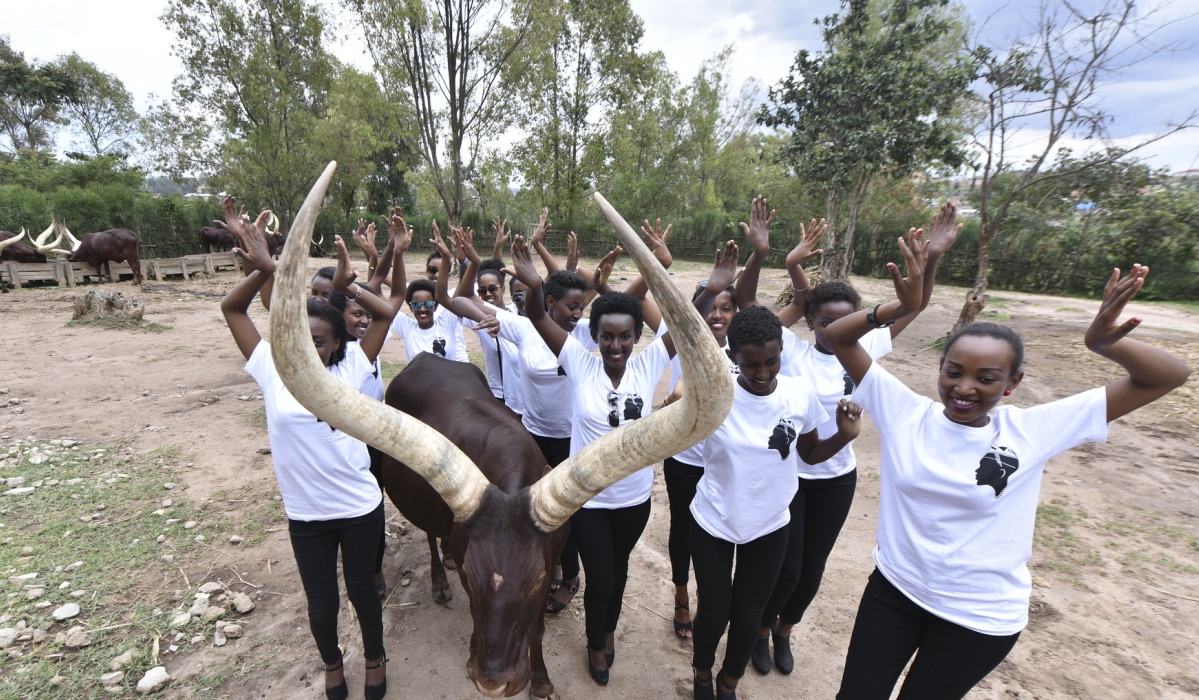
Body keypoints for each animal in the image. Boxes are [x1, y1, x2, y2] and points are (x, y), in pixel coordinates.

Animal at [267, 165, 728, 700]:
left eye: (537, 581)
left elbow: (538, 628)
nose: (492, 680)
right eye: (472, 575)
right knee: (430, 534)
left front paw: (541, 680)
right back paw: (437, 576)